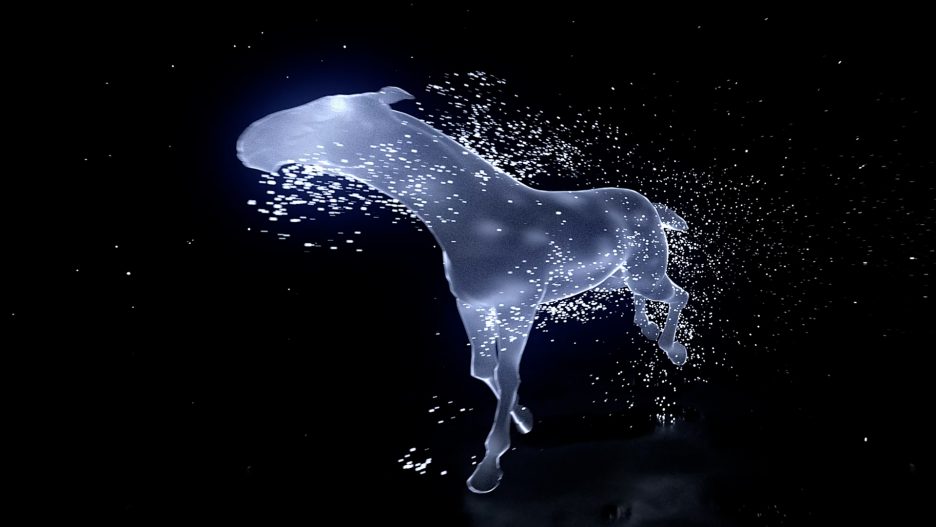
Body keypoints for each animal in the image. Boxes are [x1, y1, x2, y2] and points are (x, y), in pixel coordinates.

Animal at [237, 87, 690, 493]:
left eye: (326, 110)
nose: (246, 144)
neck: (476, 215)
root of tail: (649, 204)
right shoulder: (472, 305)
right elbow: (483, 369)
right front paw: (524, 418)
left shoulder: (516, 308)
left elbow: (507, 372)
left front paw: (488, 468)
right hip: (616, 274)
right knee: (639, 292)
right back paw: (647, 329)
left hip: (644, 270)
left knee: (678, 294)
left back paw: (673, 350)